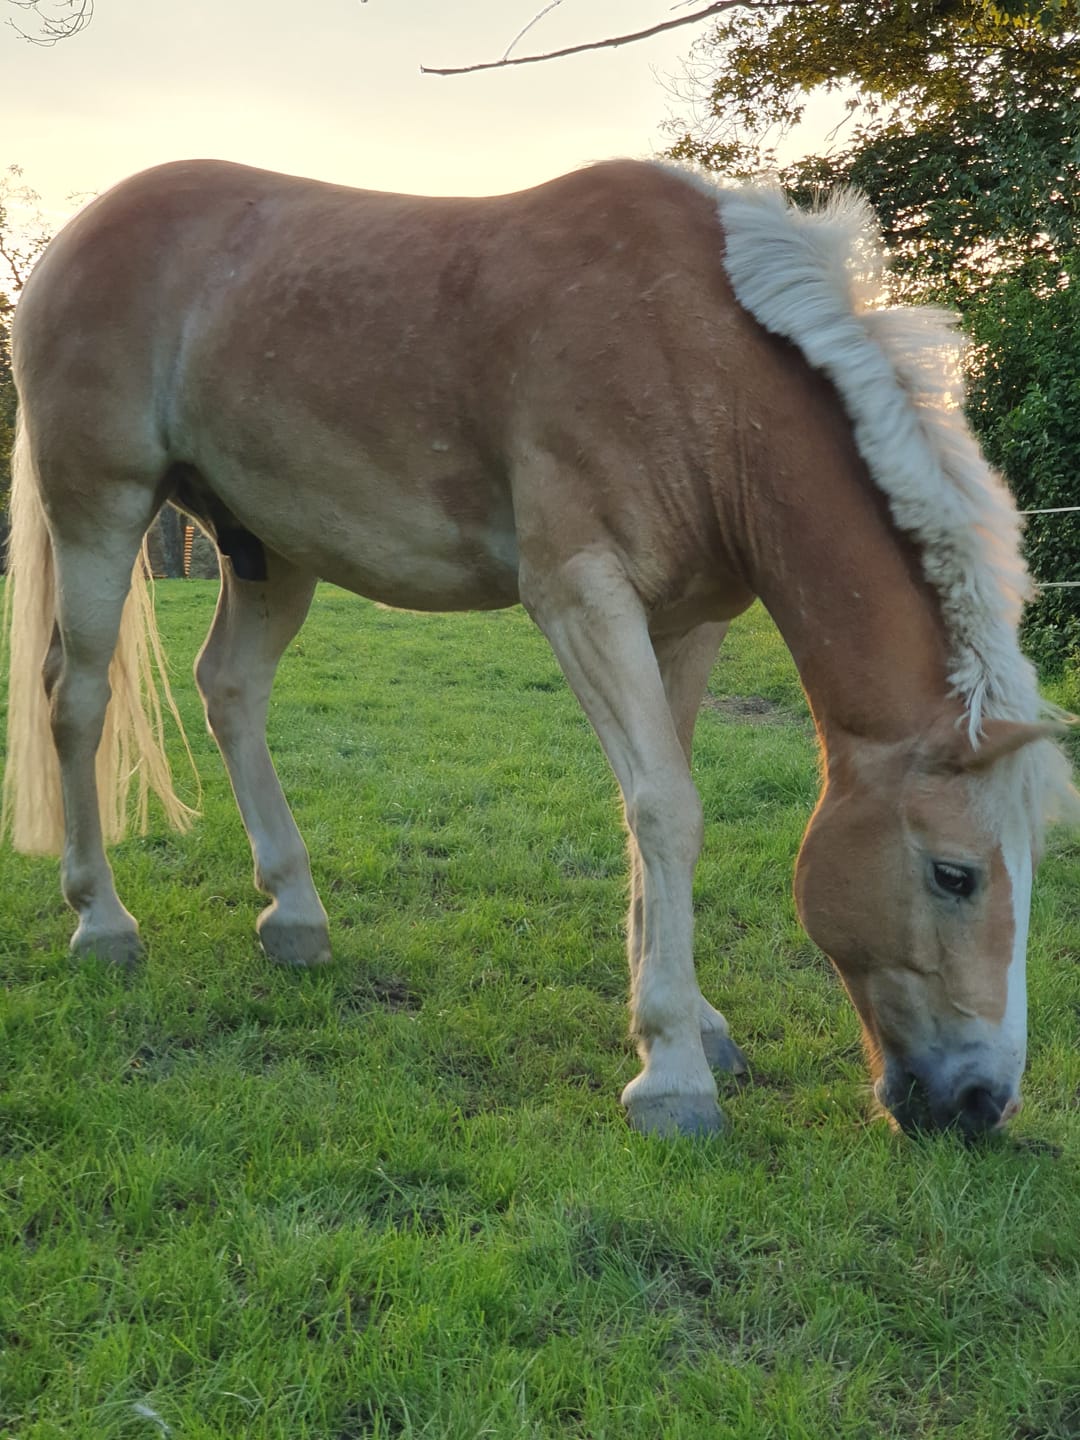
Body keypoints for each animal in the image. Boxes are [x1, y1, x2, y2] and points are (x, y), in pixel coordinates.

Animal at [3, 158, 1073, 1140]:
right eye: (954, 874)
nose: (983, 1101)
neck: (698, 356)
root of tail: (75, 240)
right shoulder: (578, 595)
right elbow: (665, 808)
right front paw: (673, 1075)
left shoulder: (688, 621)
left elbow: (659, 803)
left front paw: (692, 1024)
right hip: (98, 510)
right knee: (78, 698)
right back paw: (101, 920)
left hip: (270, 549)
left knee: (228, 691)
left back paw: (296, 916)